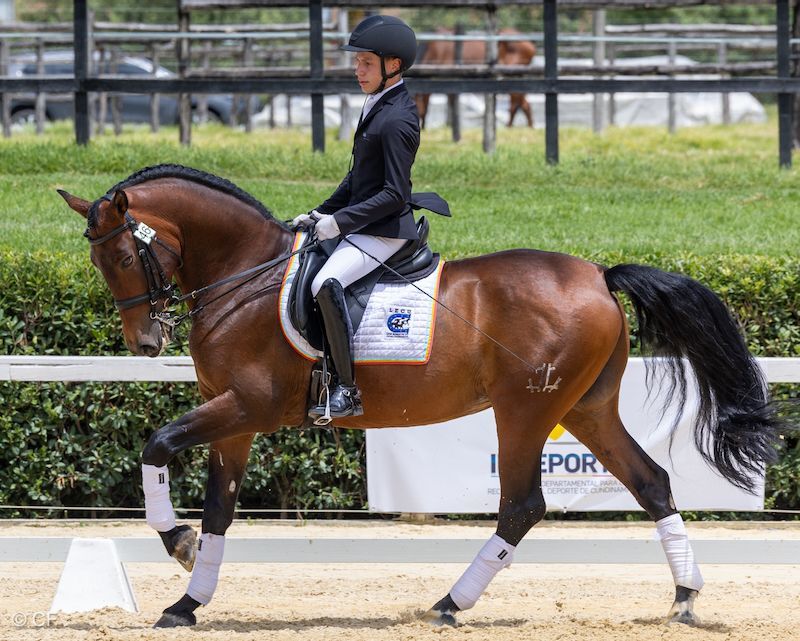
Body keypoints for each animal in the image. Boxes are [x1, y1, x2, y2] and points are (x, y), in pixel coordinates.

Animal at [58, 164, 781, 629]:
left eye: (123, 256)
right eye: (97, 262)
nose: (145, 341)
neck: (246, 276)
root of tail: (599, 277)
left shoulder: (248, 406)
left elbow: (157, 445)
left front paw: (175, 543)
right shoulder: (232, 419)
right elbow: (219, 509)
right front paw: (188, 600)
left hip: (525, 410)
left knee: (522, 504)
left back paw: (449, 605)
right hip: (585, 408)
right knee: (651, 481)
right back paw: (684, 596)